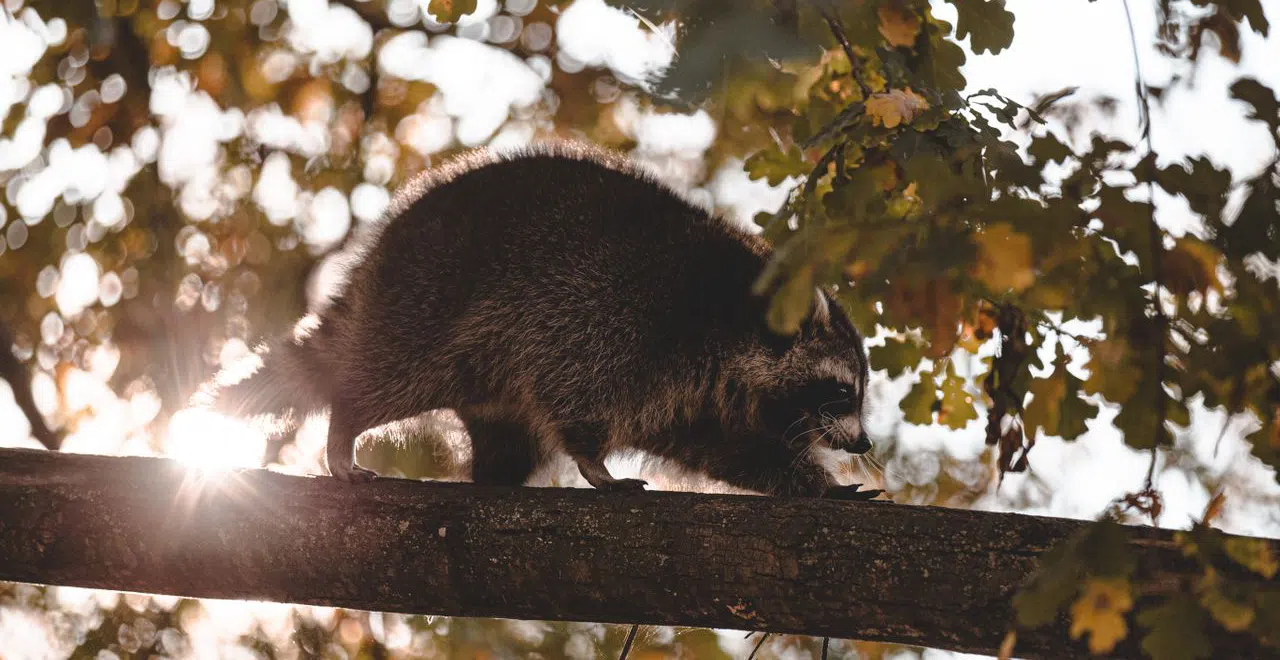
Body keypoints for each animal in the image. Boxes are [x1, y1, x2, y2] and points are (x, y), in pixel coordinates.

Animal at [202, 143, 878, 499]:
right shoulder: (617, 318)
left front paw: (812, 481)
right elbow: (575, 394)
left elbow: (731, 448)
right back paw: (347, 422)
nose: (865, 443)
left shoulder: (702, 399)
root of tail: (381, 249)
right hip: (428, 302)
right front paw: (592, 461)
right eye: (843, 390)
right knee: (392, 376)